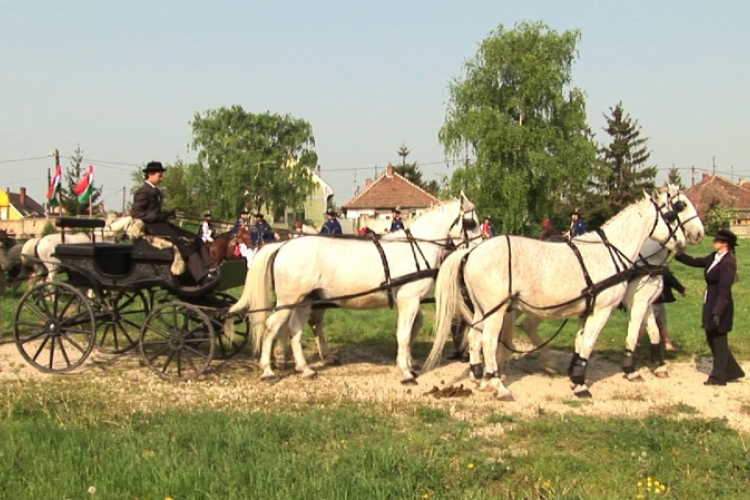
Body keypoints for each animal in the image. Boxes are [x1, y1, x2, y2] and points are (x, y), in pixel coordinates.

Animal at [229, 195, 484, 382]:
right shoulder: (408, 299)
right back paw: (268, 370)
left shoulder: (410, 301)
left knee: (295, 329)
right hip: (288, 300)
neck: (414, 247)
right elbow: (403, 334)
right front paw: (406, 372)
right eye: (470, 223)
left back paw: (304, 369)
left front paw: (408, 362)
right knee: (272, 326)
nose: (479, 248)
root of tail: (283, 244)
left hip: (305, 300)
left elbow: (413, 328)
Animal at [426, 189, 696, 400]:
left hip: (484, 310)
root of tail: (471, 251)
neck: (613, 253)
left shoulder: (588, 310)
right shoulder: (607, 309)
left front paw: (575, 377)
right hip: (496, 311)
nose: (690, 238)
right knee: (489, 341)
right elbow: (593, 342)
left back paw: (483, 379)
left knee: (475, 337)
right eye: (675, 211)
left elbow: (581, 342)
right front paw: (584, 385)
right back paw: (499, 386)